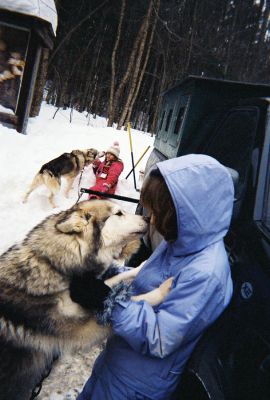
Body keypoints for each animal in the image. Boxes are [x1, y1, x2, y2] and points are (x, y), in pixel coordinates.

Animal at [0, 200, 171, 400]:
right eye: (119, 213)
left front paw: (141, 268)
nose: (147, 218)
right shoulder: (85, 331)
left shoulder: (89, 291)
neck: (52, 265)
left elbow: (115, 282)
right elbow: (136, 299)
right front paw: (164, 289)